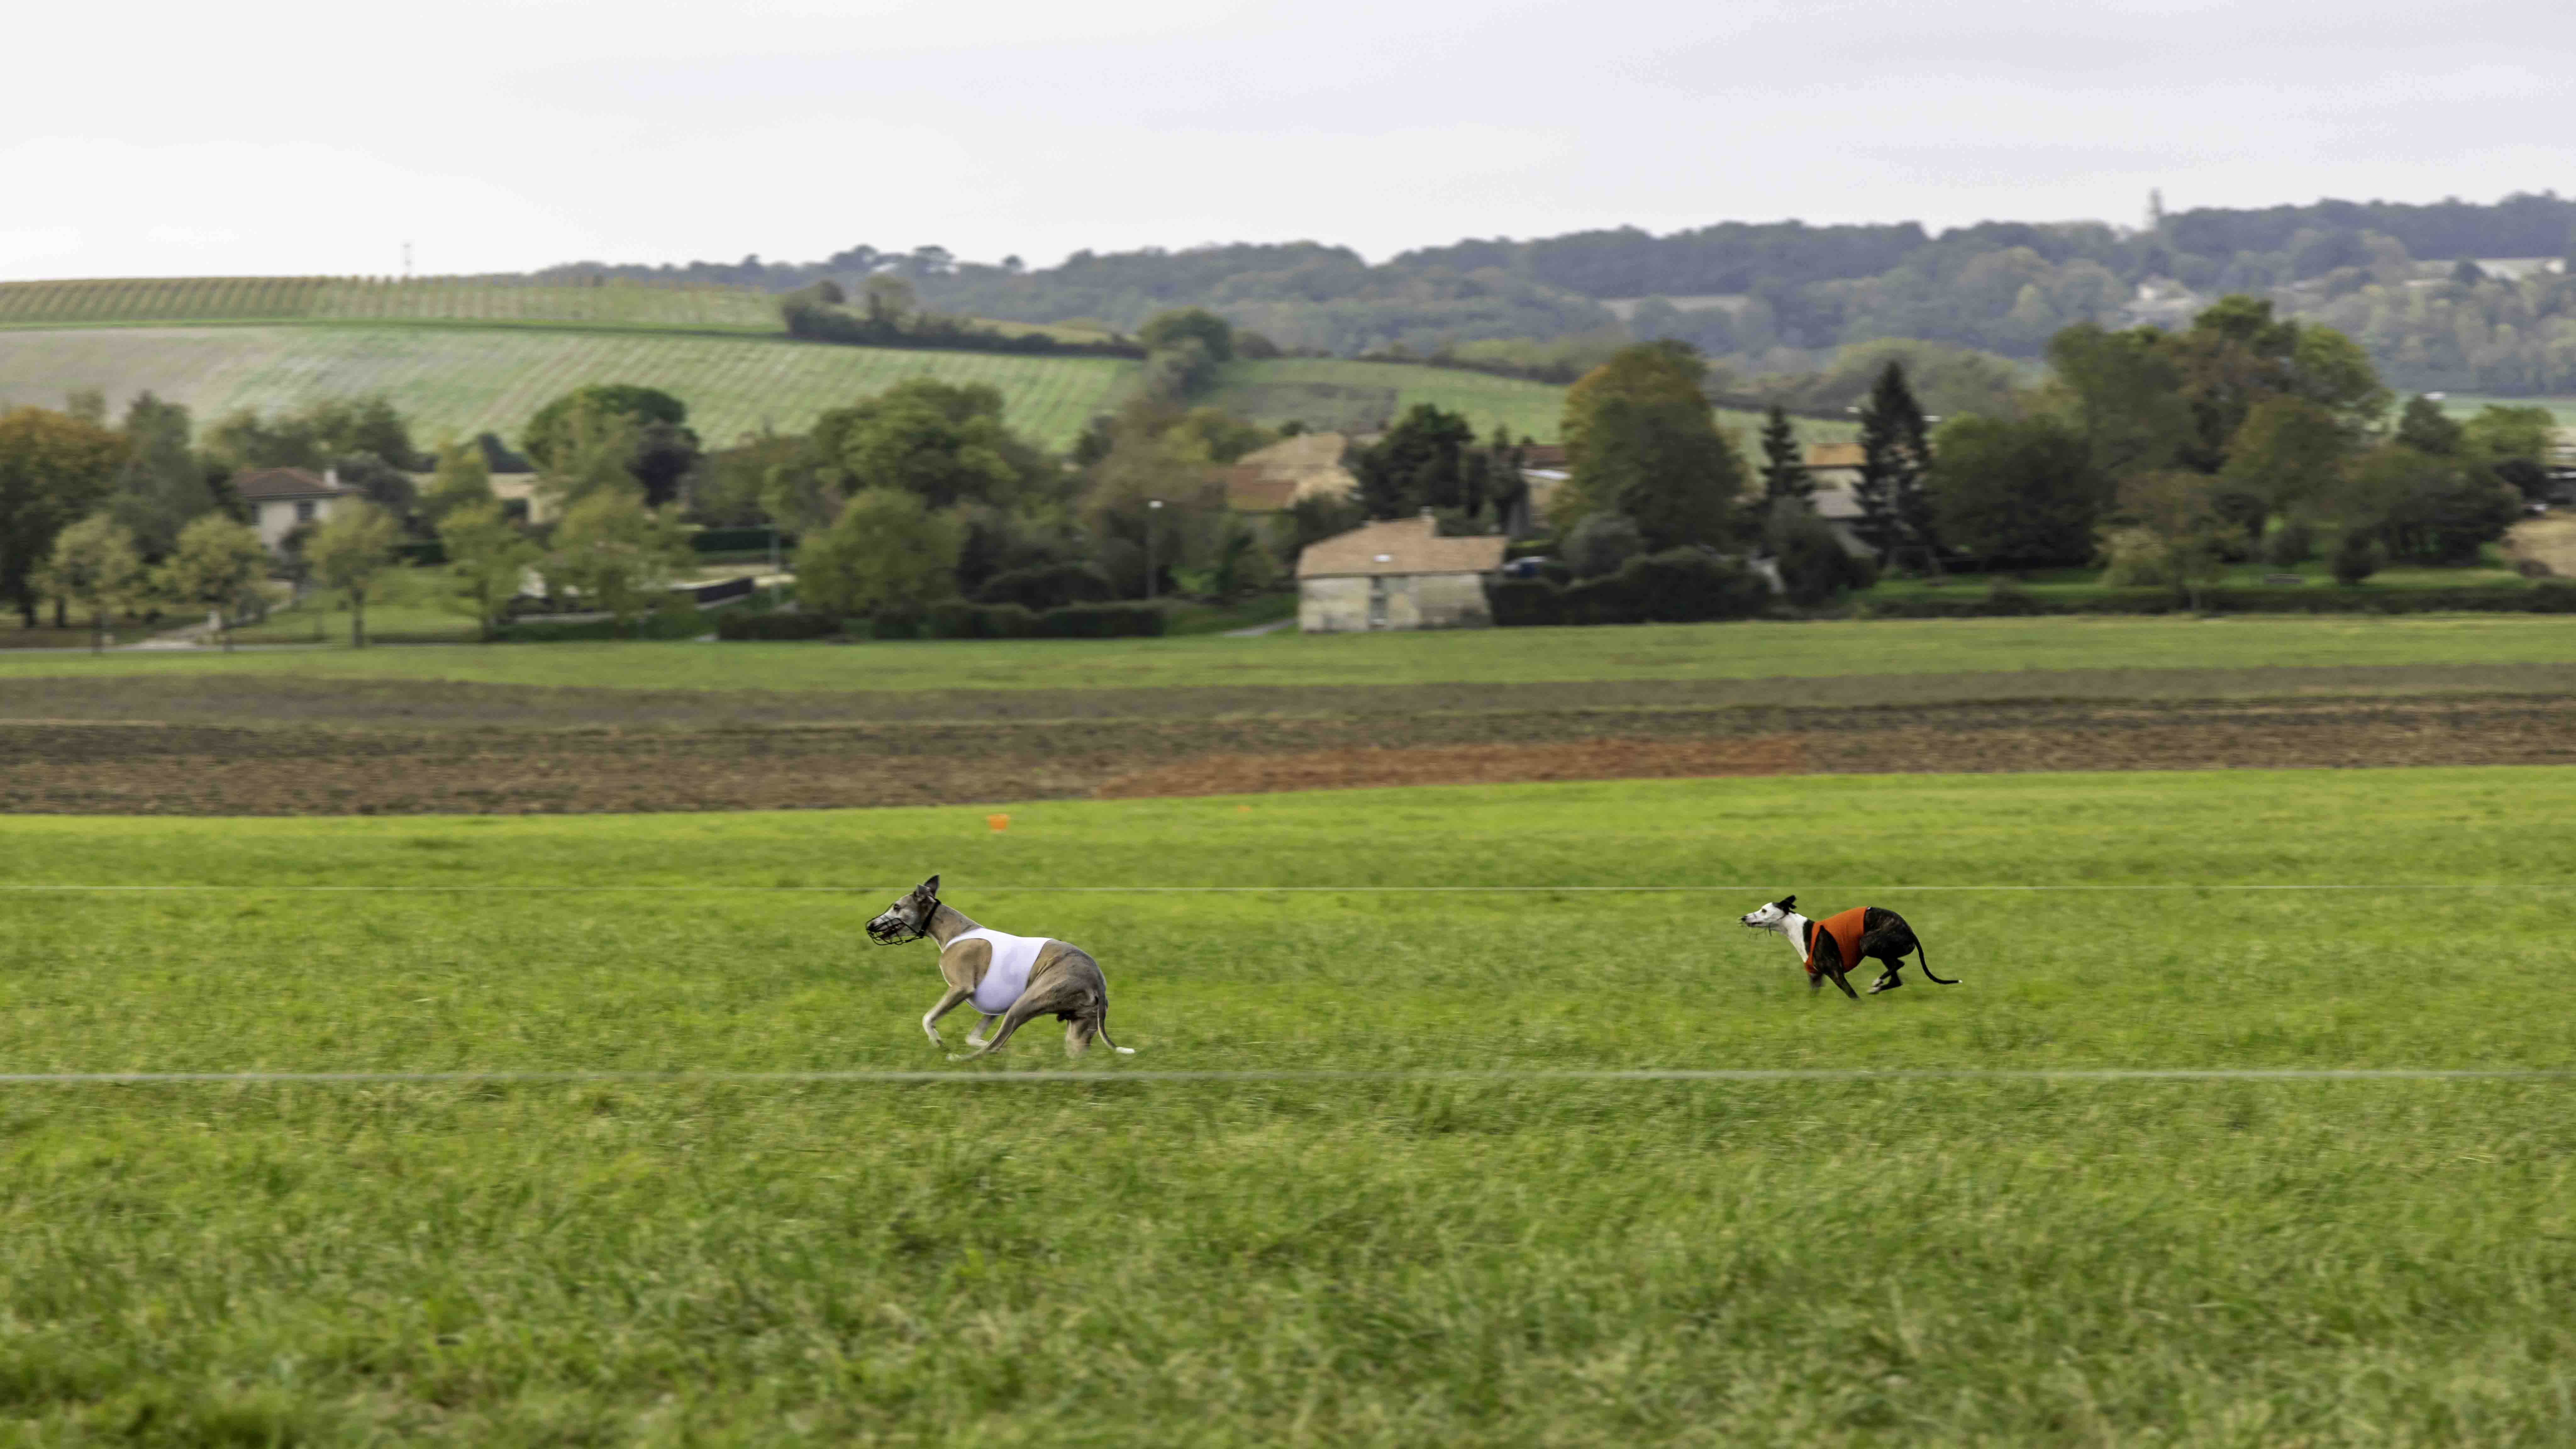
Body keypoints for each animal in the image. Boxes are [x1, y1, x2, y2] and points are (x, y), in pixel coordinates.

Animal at [870, 876, 1133, 1057]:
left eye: (896, 907)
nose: (871, 925)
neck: (955, 931)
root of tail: (1097, 980)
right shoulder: (994, 1010)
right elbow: (973, 1037)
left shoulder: (961, 988)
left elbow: (928, 1019)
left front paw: (937, 1041)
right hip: (1078, 1026)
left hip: (1024, 1004)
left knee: (990, 1046)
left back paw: (959, 1059)